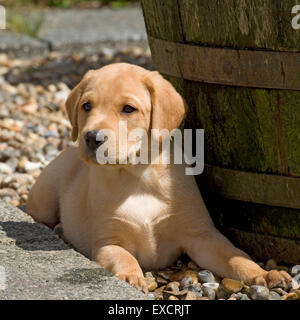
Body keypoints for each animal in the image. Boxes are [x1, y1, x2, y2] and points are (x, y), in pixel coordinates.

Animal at [27, 62, 290, 292]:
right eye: (86, 106)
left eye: (128, 109)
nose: (92, 138)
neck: (138, 176)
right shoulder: (107, 242)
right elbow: (124, 258)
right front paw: (131, 277)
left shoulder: (201, 235)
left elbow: (235, 258)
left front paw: (265, 273)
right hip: (45, 198)